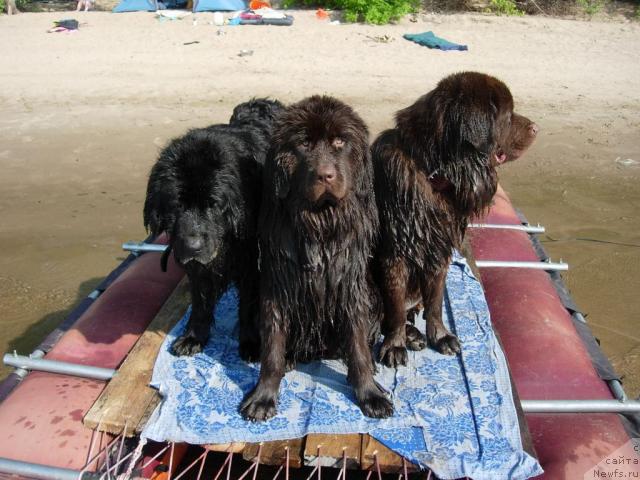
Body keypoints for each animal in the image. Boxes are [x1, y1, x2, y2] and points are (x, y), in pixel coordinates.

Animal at [146, 98, 286, 360]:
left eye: (214, 204)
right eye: (176, 205)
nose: (193, 246)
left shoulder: (251, 261)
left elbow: (248, 304)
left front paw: (251, 342)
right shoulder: (198, 267)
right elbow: (200, 302)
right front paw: (193, 337)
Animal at [238, 95, 392, 422]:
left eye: (339, 142)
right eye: (304, 144)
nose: (325, 175)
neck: (320, 223)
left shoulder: (350, 286)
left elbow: (358, 345)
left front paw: (369, 393)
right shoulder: (277, 288)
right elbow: (272, 350)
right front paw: (263, 397)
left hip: (374, 296)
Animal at [372, 71, 536, 366]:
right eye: (508, 116)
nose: (536, 128)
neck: (433, 173)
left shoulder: (439, 248)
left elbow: (436, 301)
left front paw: (440, 336)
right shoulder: (394, 254)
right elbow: (395, 308)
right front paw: (395, 344)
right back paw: (409, 335)